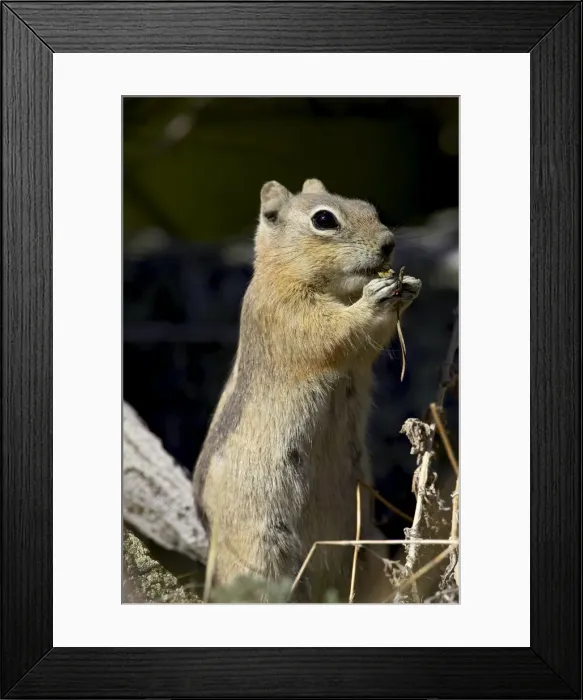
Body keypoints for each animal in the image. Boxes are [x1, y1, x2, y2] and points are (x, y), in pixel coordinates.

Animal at [194, 178, 421, 602]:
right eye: (324, 220)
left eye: (368, 207)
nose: (389, 243)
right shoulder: (289, 315)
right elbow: (335, 332)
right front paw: (377, 295)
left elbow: (369, 341)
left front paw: (409, 286)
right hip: (260, 556)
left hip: (368, 545)